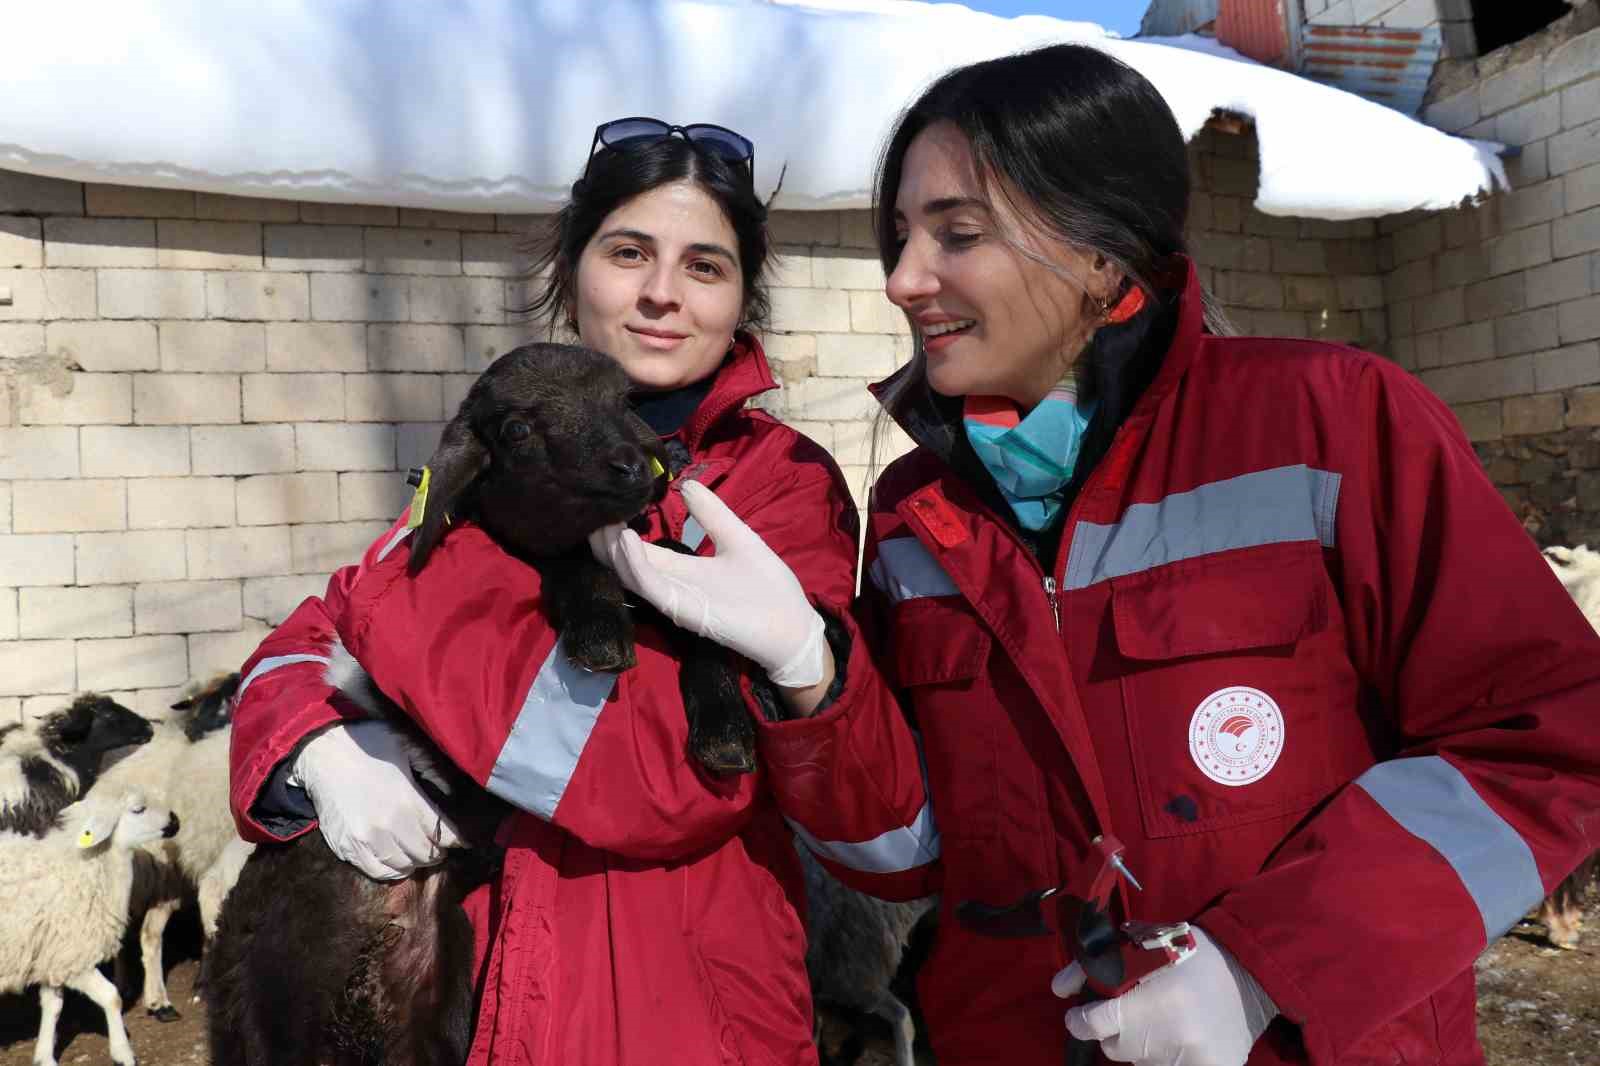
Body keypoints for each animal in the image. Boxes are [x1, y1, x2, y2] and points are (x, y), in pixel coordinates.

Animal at [0, 784, 178, 1062]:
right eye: (138, 809)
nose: (175, 821)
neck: (90, 869)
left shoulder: (55, 956)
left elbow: (53, 1006)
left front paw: (45, 1058)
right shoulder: (76, 956)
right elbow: (111, 997)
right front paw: (123, 1053)